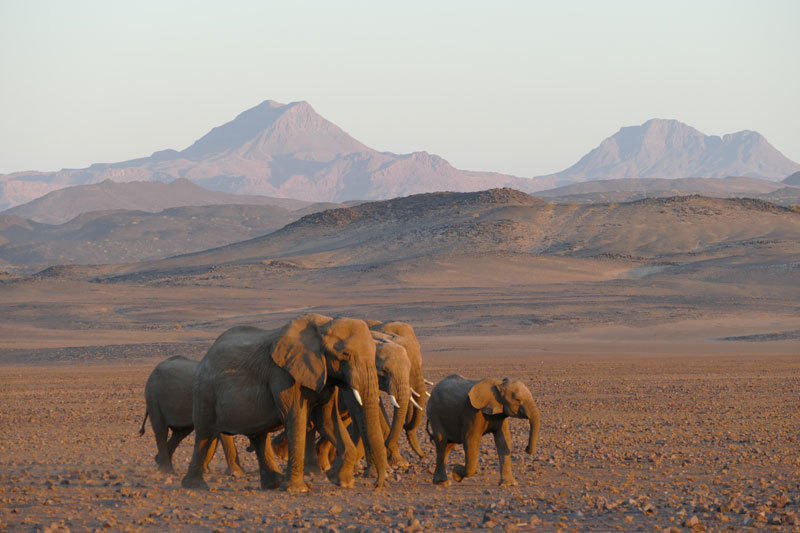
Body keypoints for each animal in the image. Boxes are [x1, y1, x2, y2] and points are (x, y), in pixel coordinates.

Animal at [180, 314, 389, 493]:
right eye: (345, 354)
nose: (376, 485)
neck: (323, 325)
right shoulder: (282, 376)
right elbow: (296, 418)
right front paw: (297, 490)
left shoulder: (324, 376)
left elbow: (327, 421)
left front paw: (341, 481)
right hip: (205, 392)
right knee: (205, 434)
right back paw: (195, 486)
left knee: (259, 437)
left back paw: (272, 484)